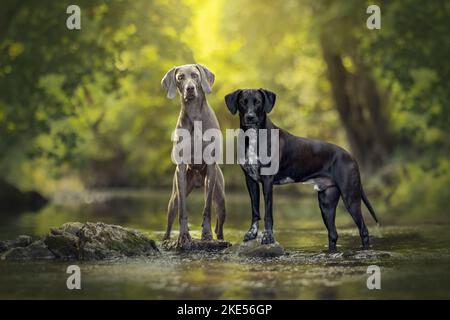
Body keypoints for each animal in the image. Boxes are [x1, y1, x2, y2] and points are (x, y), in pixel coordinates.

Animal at [161, 64, 225, 245]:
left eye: (195, 75)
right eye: (180, 77)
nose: (190, 88)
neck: (195, 114)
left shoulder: (211, 168)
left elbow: (207, 208)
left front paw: (206, 235)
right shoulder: (181, 170)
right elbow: (183, 210)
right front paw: (183, 236)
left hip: (221, 200)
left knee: (220, 227)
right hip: (173, 198)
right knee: (170, 219)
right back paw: (166, 239)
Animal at [224, 89, 376, 251]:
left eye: (258, 101)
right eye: (242, 102)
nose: (250, 117)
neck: (254, 136)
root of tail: (352, 157)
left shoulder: (267, 181)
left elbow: (268, 213)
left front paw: (268, 237)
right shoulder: (250, 180)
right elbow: (255, 210)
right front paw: (251, 234)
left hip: (351, 197)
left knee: (363, 230)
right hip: (326, 203)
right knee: (333, 234)